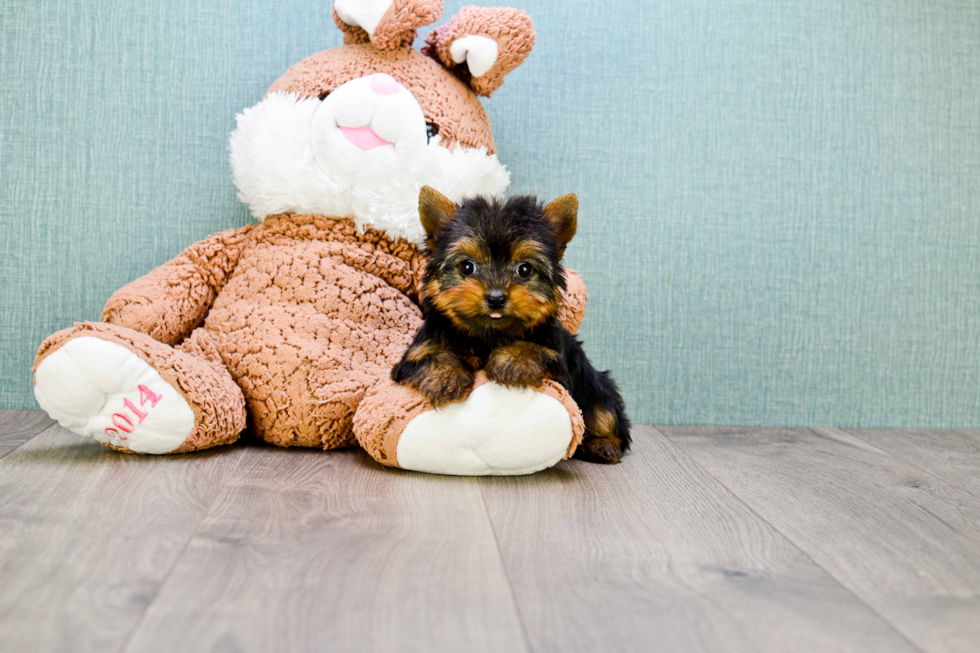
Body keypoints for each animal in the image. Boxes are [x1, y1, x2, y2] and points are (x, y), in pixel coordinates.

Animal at [392, 186, 632, 466]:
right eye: (467, 266)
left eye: (524, 269)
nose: (496, 297)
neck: (488, 336)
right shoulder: (419, 348)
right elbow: (430, 354)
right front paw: (446, 377)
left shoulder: (557, 355)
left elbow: (535, 347)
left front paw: (513, 361)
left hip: (596, 389)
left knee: (607, 416)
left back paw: (603, 445)